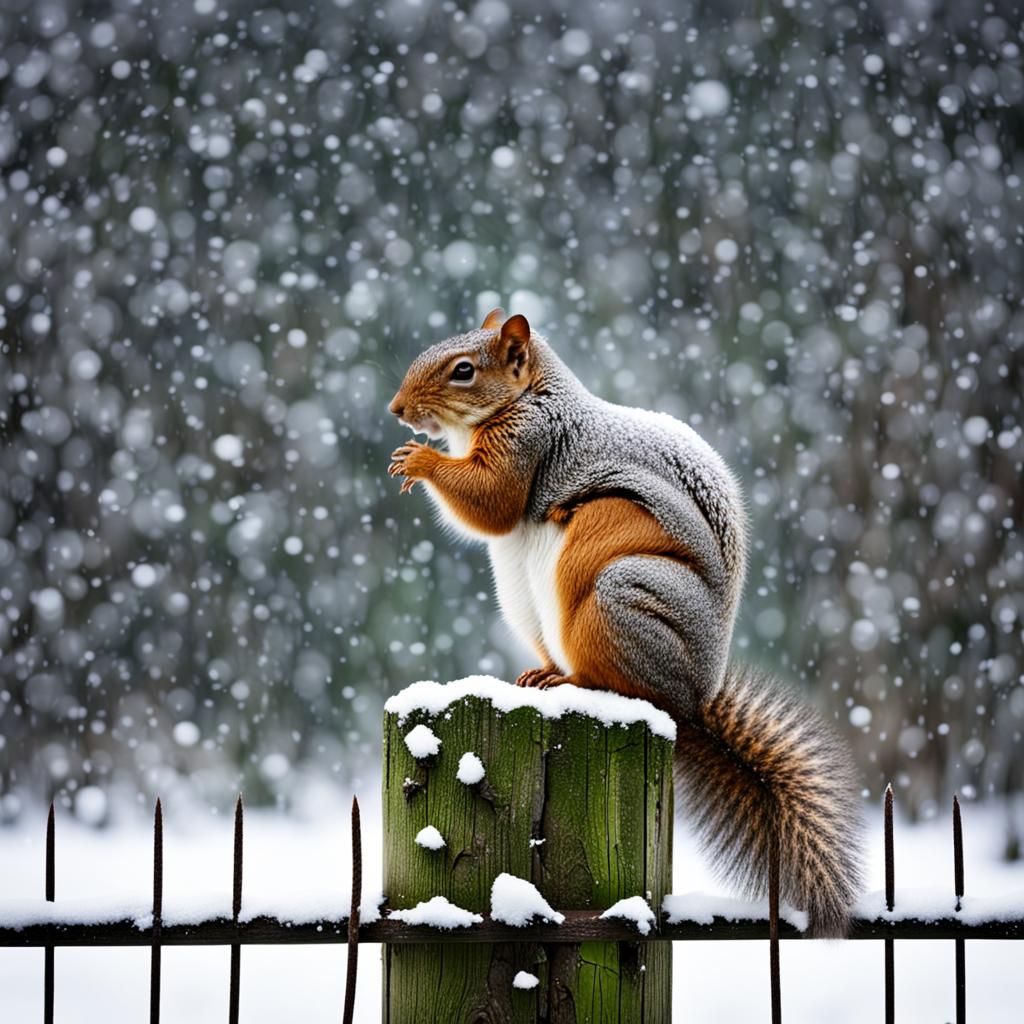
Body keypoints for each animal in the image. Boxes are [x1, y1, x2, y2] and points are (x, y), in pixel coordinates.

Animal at [387, 308, 864, 937]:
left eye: (463, 370)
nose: (397, 409)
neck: (531, 395)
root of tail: (691, 701)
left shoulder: (529, 442)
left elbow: (490, 499)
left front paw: (419, 461)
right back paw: (539, 675)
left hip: (618, 595)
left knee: (617, 681)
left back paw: (571, 681)